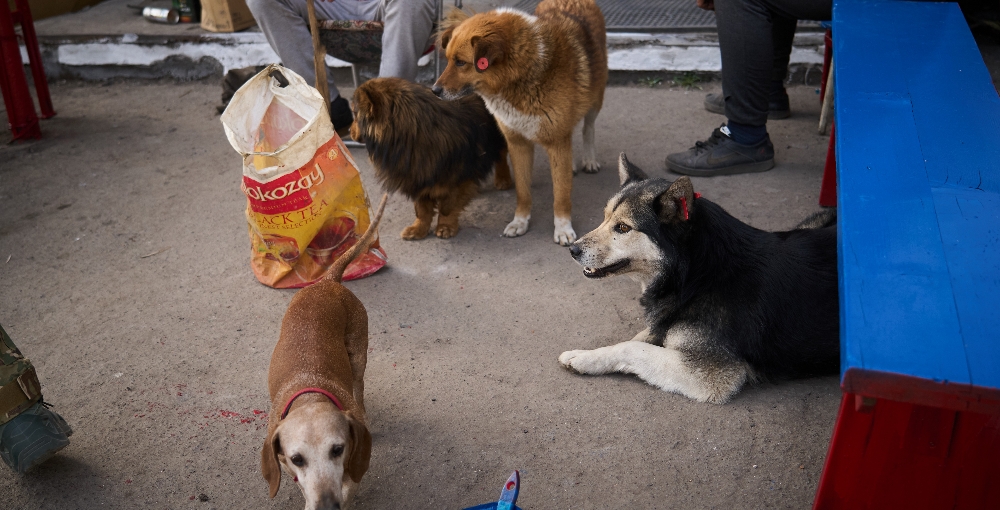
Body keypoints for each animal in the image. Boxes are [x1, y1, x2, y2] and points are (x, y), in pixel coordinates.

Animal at [350, 78, 508, 241]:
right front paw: (419, 228)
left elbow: (447, 207)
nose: (349, 131)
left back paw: (503, 179)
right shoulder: (418, 176)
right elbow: (422, 209)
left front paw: (445, 226)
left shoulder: (456, 178)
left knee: (502, 156)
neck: (412, 134)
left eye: (355, 114)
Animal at [432, 0, 604, 247]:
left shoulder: (557, 141)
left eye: (461, 62)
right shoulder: (518, 143)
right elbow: (522, 191)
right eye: (447, 60)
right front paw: (520, 222)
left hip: (596, 97)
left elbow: (561, 195)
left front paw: (563, 228)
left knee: (588, 128)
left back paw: (589, 159)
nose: (434, 90)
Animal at [564, 153, 836, 404]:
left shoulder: (710, 373)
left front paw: (584, 357)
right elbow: (638, 338)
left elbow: (632, 348)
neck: (695, 276)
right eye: (605, 217)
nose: (572, 250)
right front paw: (587, 355)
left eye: (623, 228)